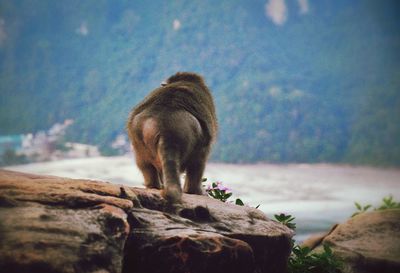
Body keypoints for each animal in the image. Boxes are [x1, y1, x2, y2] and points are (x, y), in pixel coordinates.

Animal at [126, 71, 217, 203]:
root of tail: (165, 125)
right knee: (199, 159)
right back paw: (194, 190)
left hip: (136, 128)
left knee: (143, 161)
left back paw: (153, 184)